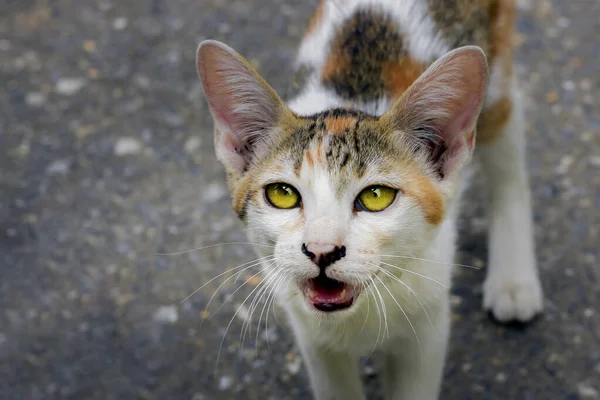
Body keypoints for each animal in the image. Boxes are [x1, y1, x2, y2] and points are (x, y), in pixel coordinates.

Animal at [197, 0, 544, 400]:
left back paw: (513, 279)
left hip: (496, 62)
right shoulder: (313, 336)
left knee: (507, 136)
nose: (321, 250)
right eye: (282, 194)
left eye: (376, 197)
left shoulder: (426, 324)